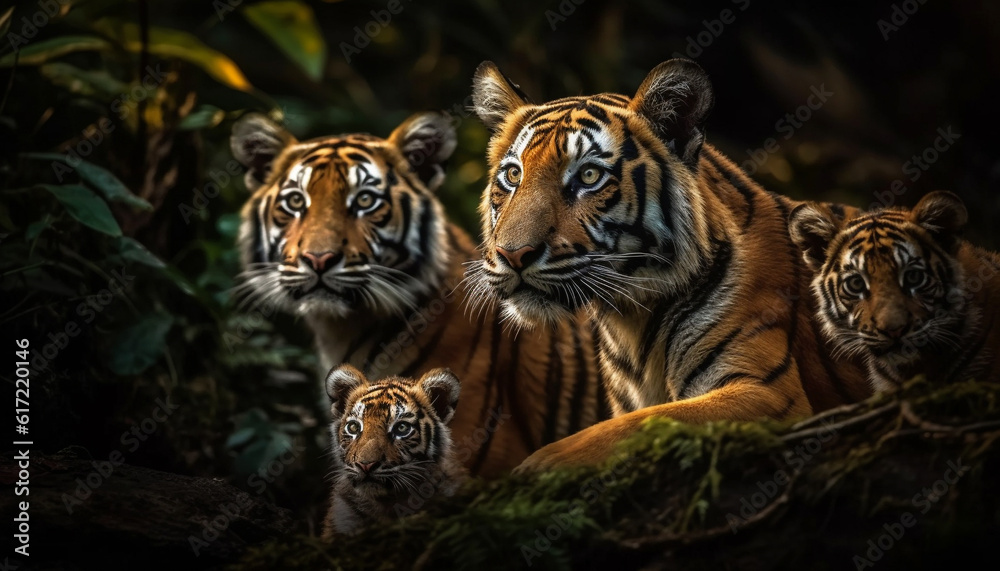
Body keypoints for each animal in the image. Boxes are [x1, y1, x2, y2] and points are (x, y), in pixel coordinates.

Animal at [464, 58, 872, 472]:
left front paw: (537, 466)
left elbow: (640, 424)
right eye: (513, 175)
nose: (513, 255)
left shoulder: (768, 393)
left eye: (589, 176)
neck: (630, 320)